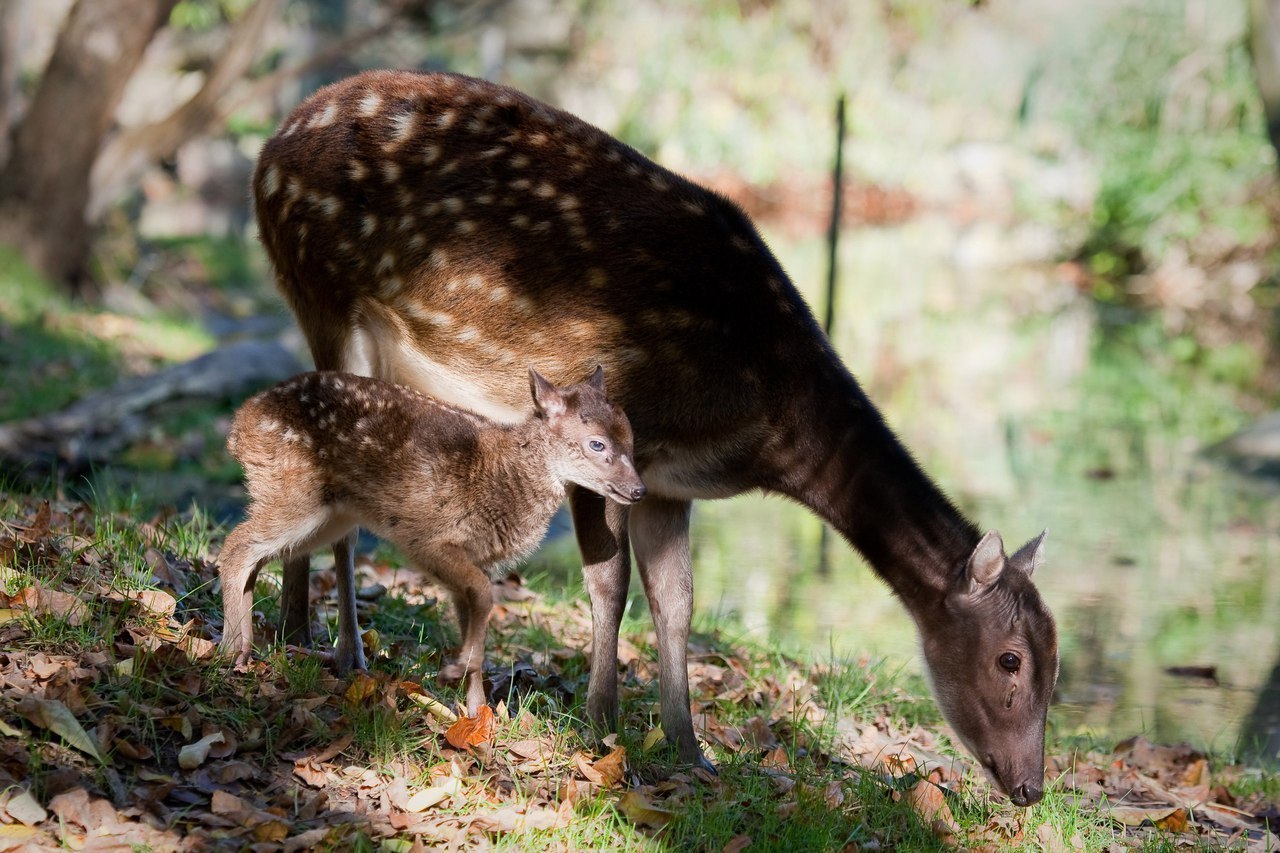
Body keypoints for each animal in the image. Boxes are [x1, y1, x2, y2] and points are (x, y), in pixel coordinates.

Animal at [221, 366, 650, 712]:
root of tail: (238, 427)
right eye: (596, 443)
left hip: (329, 513)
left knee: (257, 556)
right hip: (295, 491)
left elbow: (473, 611)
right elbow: (484, 596)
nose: (639, 490)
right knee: (236, 548)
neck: (505, 477)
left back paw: (246, 645)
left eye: (632, 440)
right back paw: (230, 649)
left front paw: (479, 715)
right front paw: (455, 674)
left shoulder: (472, 557)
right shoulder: (427, 537)